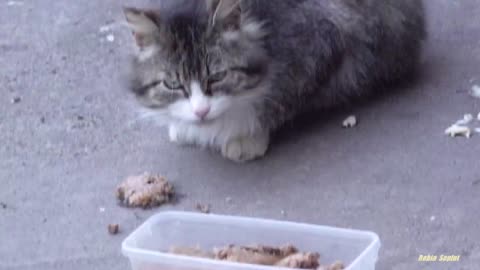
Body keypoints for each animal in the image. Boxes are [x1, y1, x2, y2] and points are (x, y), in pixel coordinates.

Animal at [123, 0, 424, 161]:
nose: (201, 112)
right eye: (172, 84)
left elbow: (281, 98)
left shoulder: (325, 37)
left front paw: (246, 135)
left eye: (218, 76)